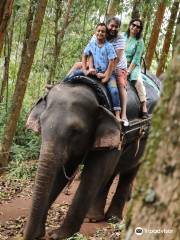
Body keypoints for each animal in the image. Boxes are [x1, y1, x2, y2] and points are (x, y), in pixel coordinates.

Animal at [23, 71, 160, 240]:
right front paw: (40, 233)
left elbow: (94, 174)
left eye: (75, 131)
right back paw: (93, 217)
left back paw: (112, 218)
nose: (31, 235)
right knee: (111, 173)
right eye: (41, 123)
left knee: (129, 170)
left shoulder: (118, 131)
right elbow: (62, 173)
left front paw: (59, 235)